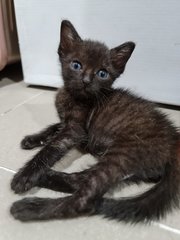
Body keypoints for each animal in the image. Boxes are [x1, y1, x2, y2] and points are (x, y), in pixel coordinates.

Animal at [10, 19, 179, 222]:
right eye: (76, 65)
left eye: (102, 73)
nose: (86, 80)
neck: (72, 96)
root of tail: (175, 142)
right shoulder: (67, 122)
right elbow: (54, 126)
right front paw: (32, 139)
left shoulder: (75, 130)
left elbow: (52, 148)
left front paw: (26, 176)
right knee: (82, 180)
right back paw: (47, 177)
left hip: (124, 152)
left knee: (85, 201)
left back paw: (29, 205)